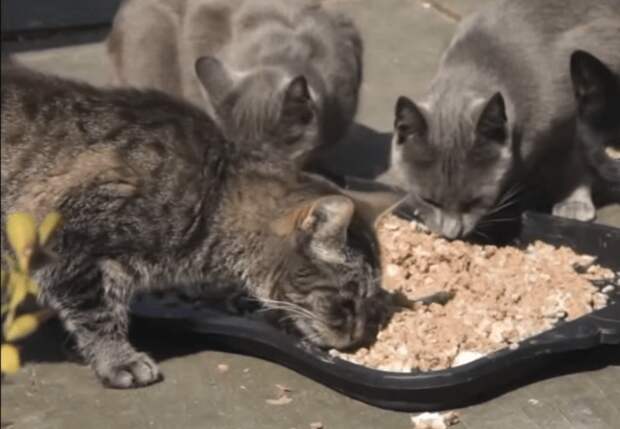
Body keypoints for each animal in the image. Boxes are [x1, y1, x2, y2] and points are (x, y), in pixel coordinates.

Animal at [0, 65, 391, 389]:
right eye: (347, 300)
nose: (359, 338)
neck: (213, 195)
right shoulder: (66, 240)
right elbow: (96, 312)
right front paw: (118, 358)